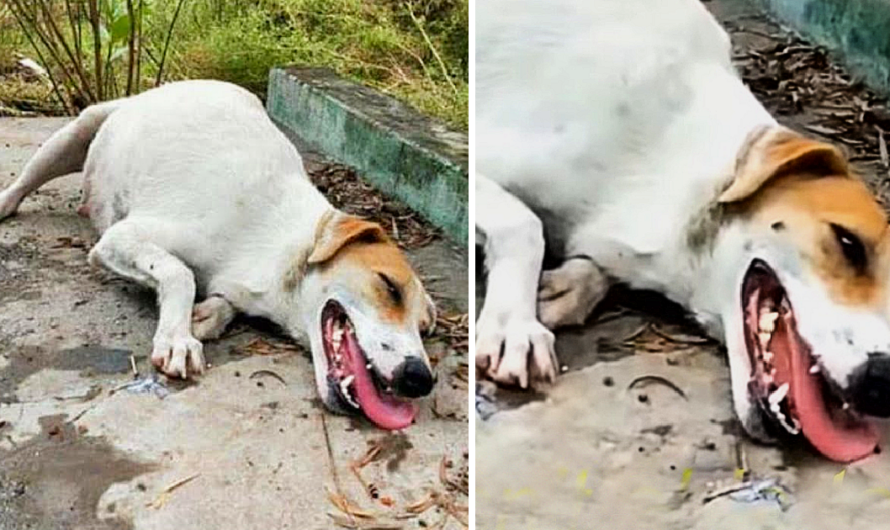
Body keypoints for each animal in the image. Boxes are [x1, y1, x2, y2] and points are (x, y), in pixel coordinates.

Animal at [0, 80, 438, 432]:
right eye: (389, 287)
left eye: (424, 327)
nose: (421, 379)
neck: (284, 244)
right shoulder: (119, 238)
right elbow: (179, 273)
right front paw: (177, 336)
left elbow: (220, 300)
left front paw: (206, 315)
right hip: (75, 132)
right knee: (24, 182)